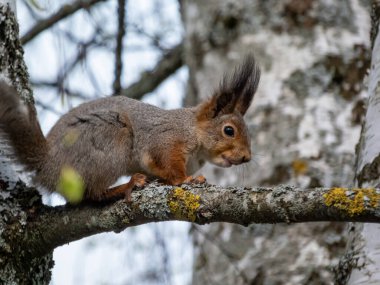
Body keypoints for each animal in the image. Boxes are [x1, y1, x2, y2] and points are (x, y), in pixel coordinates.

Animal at [0, 55, 260, 202]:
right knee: (91, 195)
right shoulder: (164, 140)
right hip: (110, 143)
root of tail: (48, 165)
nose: (247, 157)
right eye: (229, 130)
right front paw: (186, 179)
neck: (191, 129)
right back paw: (126, 185)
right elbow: (167, 164)